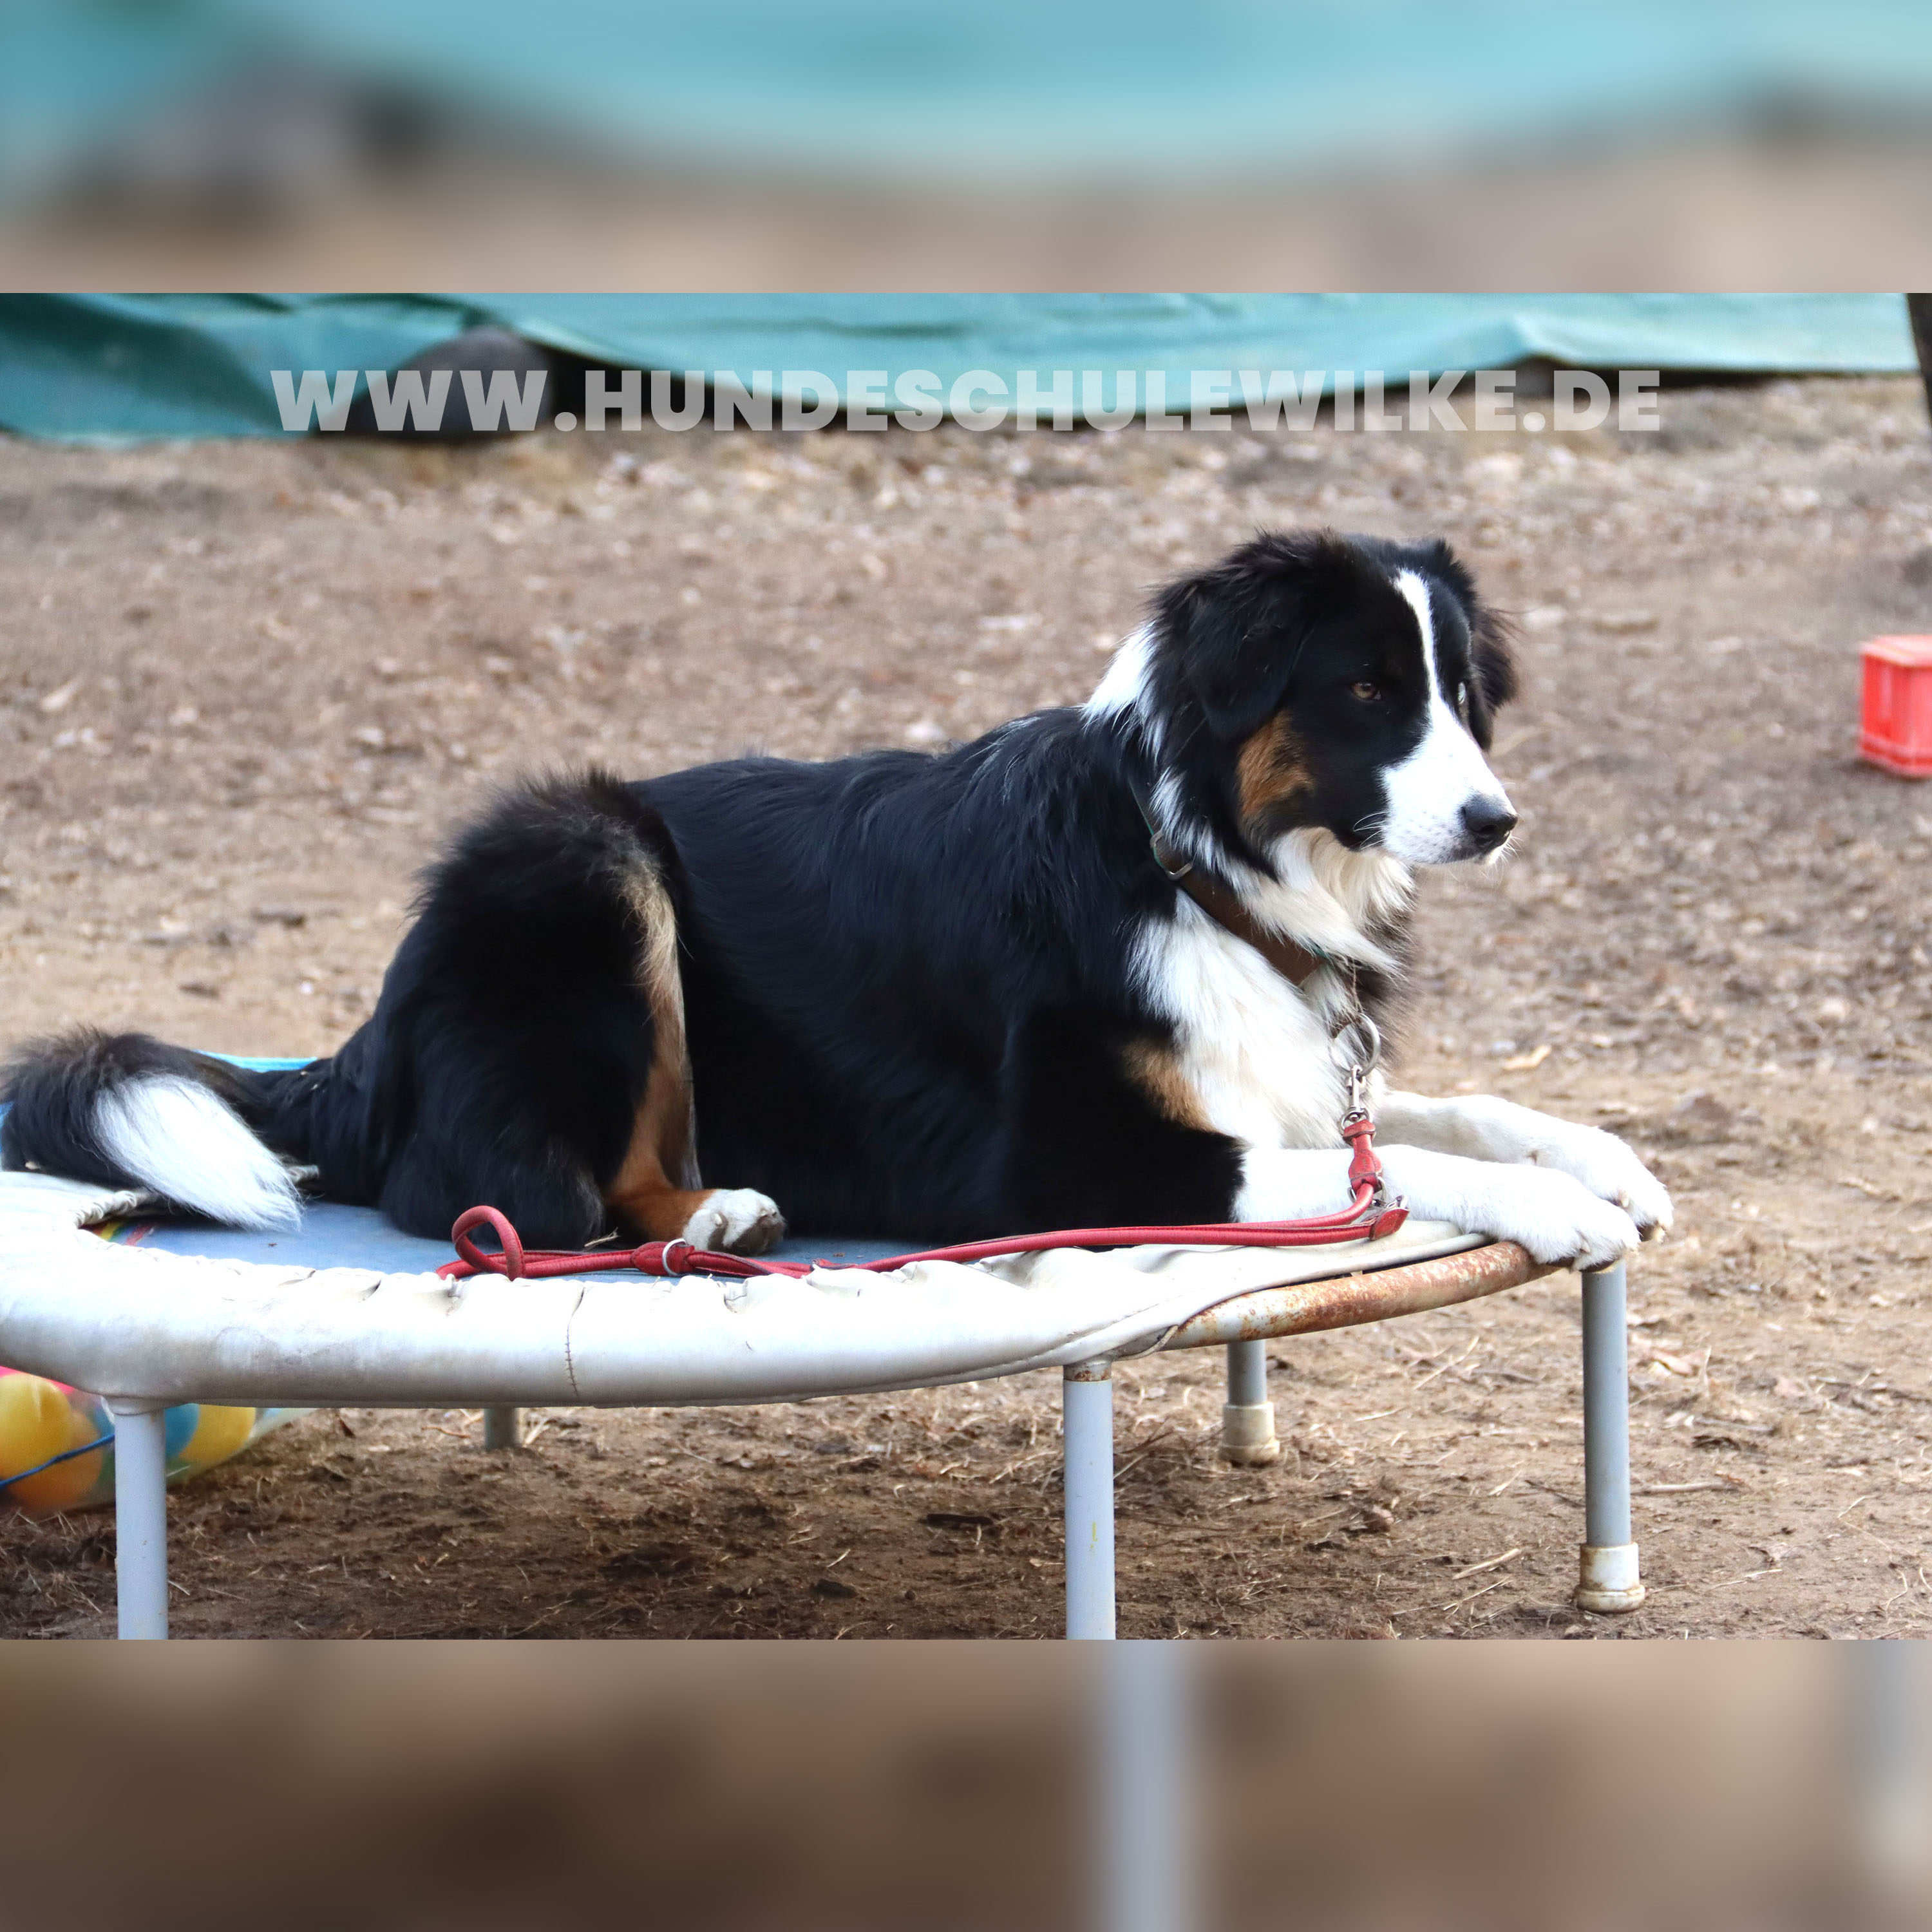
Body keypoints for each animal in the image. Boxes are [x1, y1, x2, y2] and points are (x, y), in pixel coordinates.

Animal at [2, 529, 1670, 1268]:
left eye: (1463, 694)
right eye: (1367, 691)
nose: (1497, 820)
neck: (1193, 862)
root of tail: (368, 1039)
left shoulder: (1285, 1075)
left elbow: (1437, 1115)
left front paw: (1601, 1158)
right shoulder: (1067, 1161)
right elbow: (1380, 1167)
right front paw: (1555, 1202)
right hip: (583, 854)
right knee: (492, 1188)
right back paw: (705, 1208)